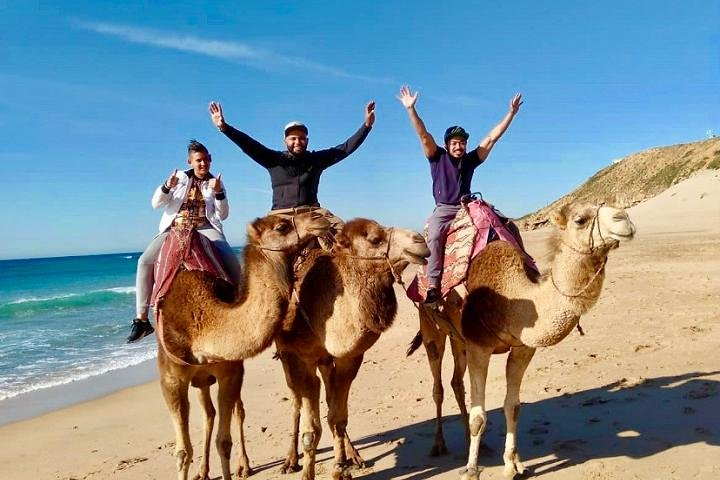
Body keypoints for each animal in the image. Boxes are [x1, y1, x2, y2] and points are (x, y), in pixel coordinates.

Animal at [156, 212, 330, 480]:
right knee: (208, 414)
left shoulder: (230, 371)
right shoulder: (171, 379)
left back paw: (244, 466)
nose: (320, 217)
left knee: (231, 412)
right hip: (198, 380)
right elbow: (183, 452)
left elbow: (224, 441)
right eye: (282, 226)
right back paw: (203, 471)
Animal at [274, 218, 430, 480]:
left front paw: (340, 467)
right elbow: (311, 427)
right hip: (287, 355)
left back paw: (354, 457)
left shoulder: (350, 358)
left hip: (326, 360)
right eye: (375, 239)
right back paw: (290, 461)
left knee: (329, 398)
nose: (421, 241)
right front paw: (308, 472)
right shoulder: (299, 357)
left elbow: (337, 417)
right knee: (296, 403)